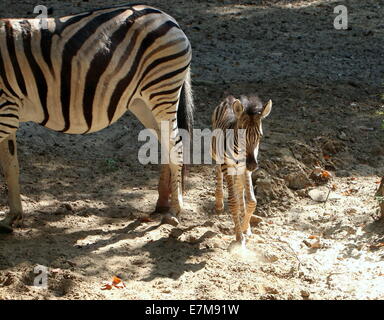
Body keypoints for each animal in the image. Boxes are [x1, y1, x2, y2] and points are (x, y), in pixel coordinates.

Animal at [0, 2, 194, 232]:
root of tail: (167, 17)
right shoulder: (8, 115)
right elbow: (11, 166)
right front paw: (13, 217)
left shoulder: (5, 111)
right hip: (141, 100)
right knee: (164, 141)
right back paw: (163, 203)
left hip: (162, 90)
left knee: (176, 144)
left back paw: (174, 211)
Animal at [212, 94, 272, 246]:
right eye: (240, 134)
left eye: (260, 136)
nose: (252, 165)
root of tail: (229, 98)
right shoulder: (227, 166)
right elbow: (233, 201)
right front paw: (239, 237)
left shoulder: (245, 169)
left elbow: (252, 201)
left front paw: (245, 227)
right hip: (215, 152)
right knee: (218, 171)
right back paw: (219, 203)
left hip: (239, 169)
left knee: (239, 188)